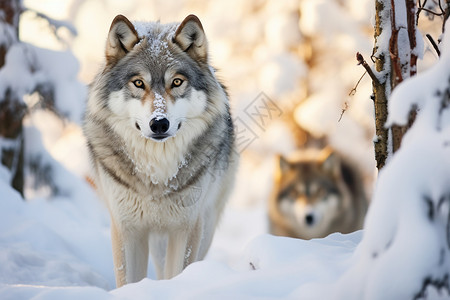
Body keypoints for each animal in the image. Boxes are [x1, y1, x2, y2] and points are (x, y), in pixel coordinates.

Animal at [85, 14, 239, 288]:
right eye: (139, 83)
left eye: (176, 82)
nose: (159, 123)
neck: (156, 173)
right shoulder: (127, 229)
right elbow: (129, 280)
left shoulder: (186, 228)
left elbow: (178, 273)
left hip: (206, 224)